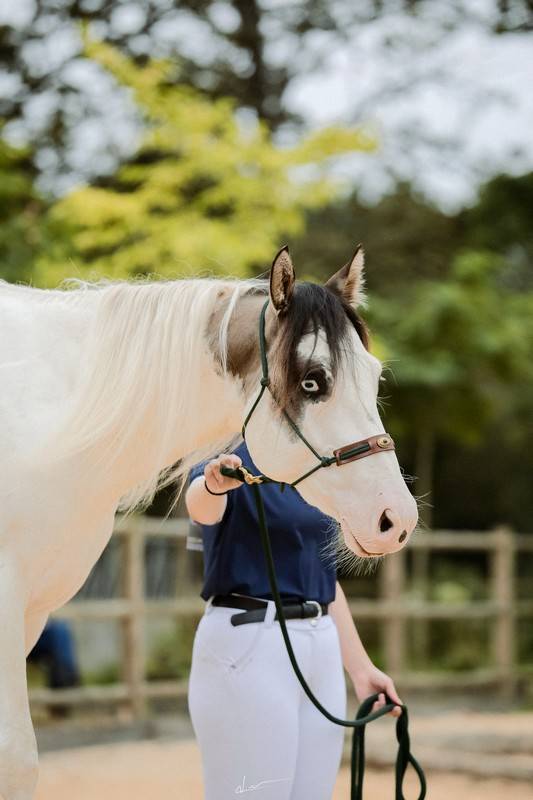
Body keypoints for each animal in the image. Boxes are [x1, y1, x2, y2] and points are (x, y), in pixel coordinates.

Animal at [0, 245, 417, 799]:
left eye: (373, 377)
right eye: (312, 380)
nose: (397, 518)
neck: (52, 417)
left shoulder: (32, 612)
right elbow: (16, 756)